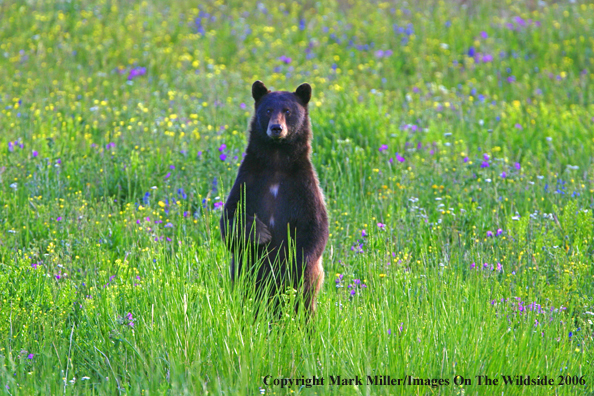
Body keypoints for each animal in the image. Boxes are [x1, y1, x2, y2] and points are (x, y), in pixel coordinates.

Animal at [220, 79, 328, 316]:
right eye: (268, 110)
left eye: (288, 111)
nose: (276, 128)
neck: (277, 162)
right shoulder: (249, 181)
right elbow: (230, 218)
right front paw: (260, 233)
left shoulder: (303, 186)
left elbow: (315, 226)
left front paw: (295, 265)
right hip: (245, 277)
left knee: (304, 305)